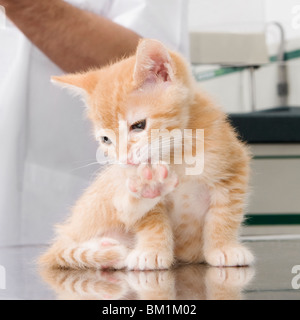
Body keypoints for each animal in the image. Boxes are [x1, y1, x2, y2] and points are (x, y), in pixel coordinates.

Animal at [39, 39, 254, 270]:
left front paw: (224, 248)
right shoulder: (129, 179)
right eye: (106, 140)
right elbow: (148, 220)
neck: (176, 154)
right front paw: (152, 250)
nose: (125, 159)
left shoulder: (234, 169)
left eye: (138, 125)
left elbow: (225, 214)